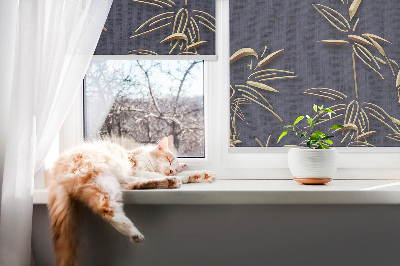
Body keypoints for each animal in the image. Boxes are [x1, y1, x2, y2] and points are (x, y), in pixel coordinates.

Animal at [48, 137, 216, 266]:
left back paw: (170, 182)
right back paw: (134, 232)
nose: (171, 171)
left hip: (114, 182)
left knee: (134, 186)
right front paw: (183, 176)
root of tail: (56, 172)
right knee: (107, 209)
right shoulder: (136, 170)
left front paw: (203, 175)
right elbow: (153, 174)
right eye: (169, 160)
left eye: (174, 166)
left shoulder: (134, 174)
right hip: (103, 178)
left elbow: (184, 174)